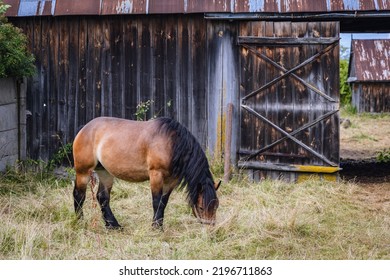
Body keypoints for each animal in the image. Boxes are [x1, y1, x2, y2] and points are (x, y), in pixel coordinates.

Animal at [73, 117, 219, 229]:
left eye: (216, 206)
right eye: (201, 207)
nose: (210, 230)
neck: (171, 143)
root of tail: (85, 128)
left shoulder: (171, 180)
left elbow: (163, 203)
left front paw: (159, 224)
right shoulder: (156, 175)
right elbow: (156, 201)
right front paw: (156, 227)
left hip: (105, 173)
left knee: (102, 197)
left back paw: (113, 225)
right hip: (83, 172)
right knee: (79, 195)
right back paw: (80, 222)